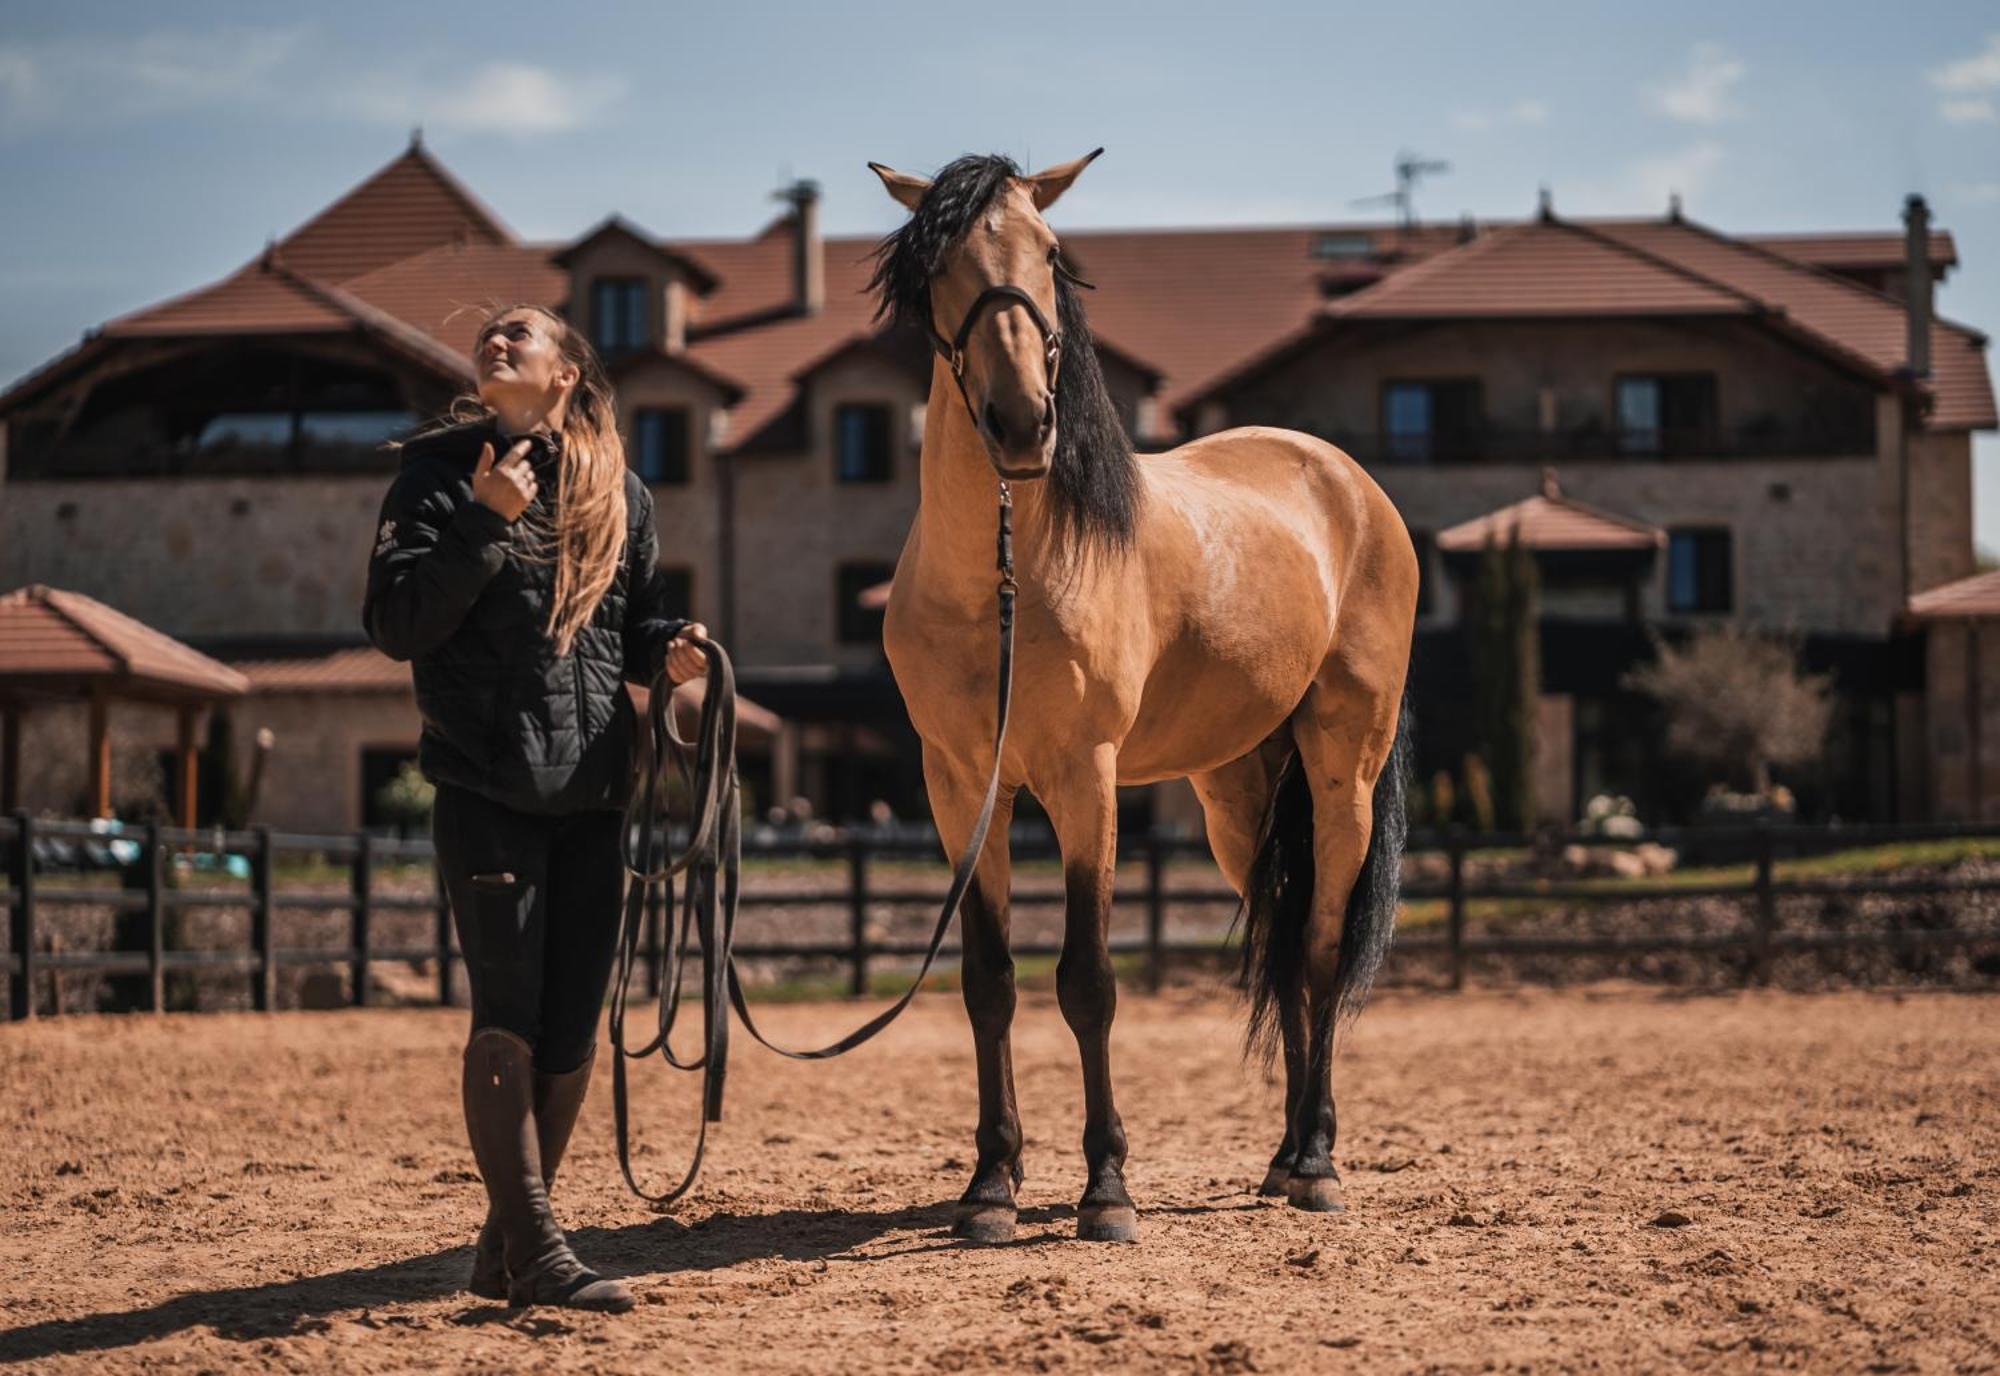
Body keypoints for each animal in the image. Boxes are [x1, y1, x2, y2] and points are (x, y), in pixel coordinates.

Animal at [868, 153, 1416, 1248]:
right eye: (940, 262)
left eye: (1048, 252)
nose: (1021, 425)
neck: (1007, 576)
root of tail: (1350, 485)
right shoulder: (960, 789)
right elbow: (989, 982)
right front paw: (989, 1187)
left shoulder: (1086, 781)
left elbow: (1086, 981)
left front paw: (1105, 1190)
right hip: (1237, 801)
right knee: (1284, 943)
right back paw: (1280, 1159)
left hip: (1343, 771)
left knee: (1321, 950)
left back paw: (1317, 1164)